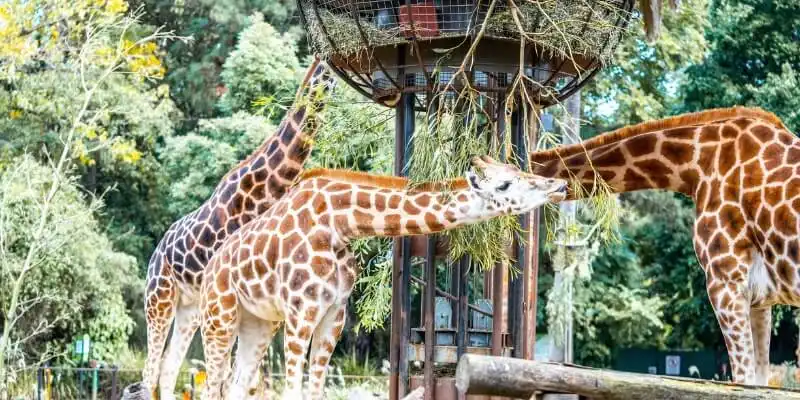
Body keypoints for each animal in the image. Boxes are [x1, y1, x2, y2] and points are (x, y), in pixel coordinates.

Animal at [126, 59, 338, 400]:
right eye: (328, 71)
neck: (264, 191)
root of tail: (157, 251)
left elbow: (248, 379)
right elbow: (226, 376)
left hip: (190, 308)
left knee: (169, 367)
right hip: (159, 297)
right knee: (151, 367)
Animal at [196, 156, 564, 400]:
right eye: (504, 184)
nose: (558, 185)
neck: (341, 223)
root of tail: (210, 268)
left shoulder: (334, 313)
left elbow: (314, 390)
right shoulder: (301, 311)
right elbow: (292, 391)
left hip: (259, 322)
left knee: (236, 384)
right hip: (219, 317)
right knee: (214, 384)